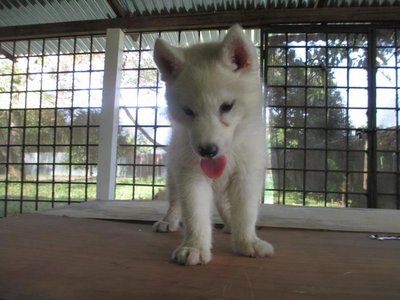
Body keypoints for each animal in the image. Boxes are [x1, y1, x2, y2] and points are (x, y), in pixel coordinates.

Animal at [152, 25, 274, 264]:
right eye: (188, 111)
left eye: (226, 107)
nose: (207, 151)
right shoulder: (190, 175)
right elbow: (195, 215)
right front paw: (194, 247)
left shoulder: (247, 176)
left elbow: (245, 213)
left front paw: (247, 242)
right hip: (173, 173)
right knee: (175, 201)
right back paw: (168, 220)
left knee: (224, 205)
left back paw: (230, 225)